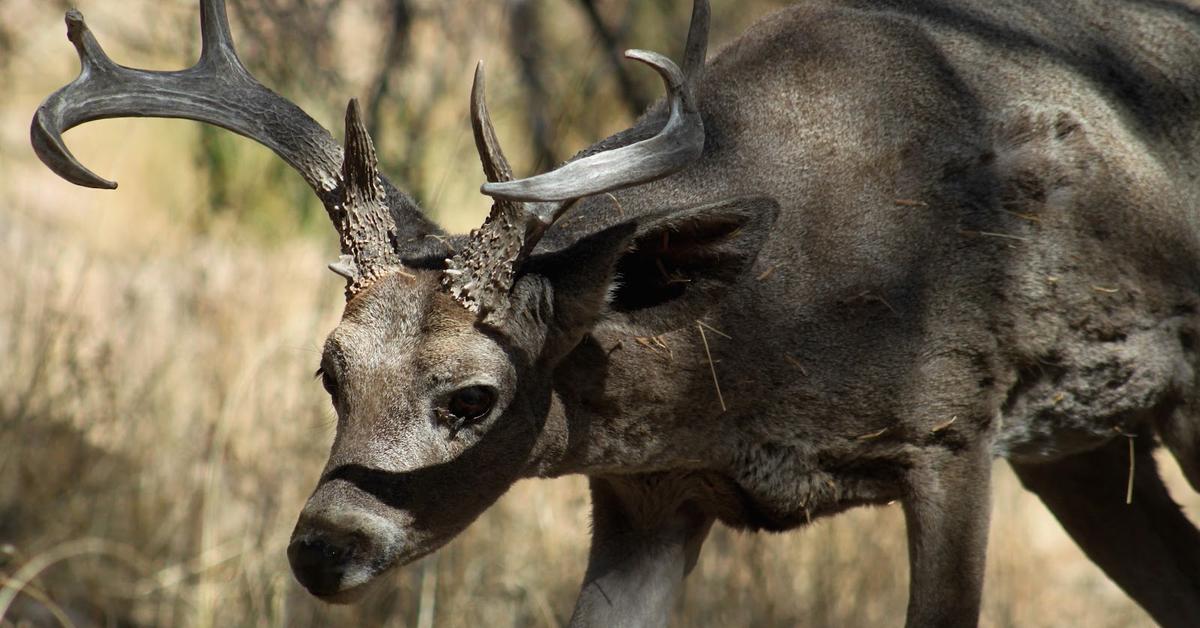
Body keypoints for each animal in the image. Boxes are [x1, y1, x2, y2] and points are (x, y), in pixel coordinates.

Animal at [32, 0, 1200, 624]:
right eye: (332, 370)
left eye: (473, 395)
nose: (321, 548)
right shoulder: (646, 499)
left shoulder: (951, 425)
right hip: (1084, 450)